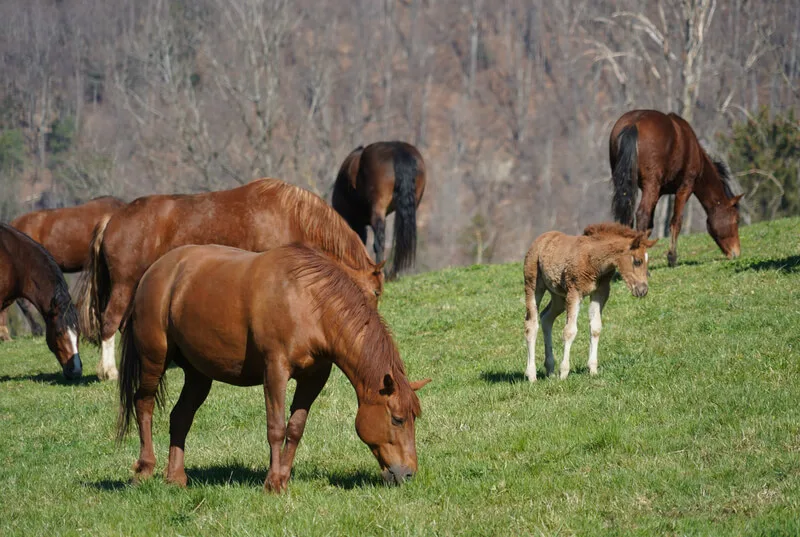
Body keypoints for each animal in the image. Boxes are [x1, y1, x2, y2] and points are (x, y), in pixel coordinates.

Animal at [79, 178, 384, 381]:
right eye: (375, 294)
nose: (365, 334)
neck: (289, 216)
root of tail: (113, 219)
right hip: (125, 284)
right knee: (109, 323)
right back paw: (109, 371)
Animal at [117, 243, 430, 492]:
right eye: (398, 419)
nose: (408, 474)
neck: (308, 302)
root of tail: (155, 271)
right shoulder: (275, 371)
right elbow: (276, 427)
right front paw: (273, 482)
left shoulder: (313, 378)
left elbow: (296, 427)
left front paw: (282, 477)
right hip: (154, 359)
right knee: (143, 405)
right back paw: (144, 469)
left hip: (198, 374)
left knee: (180, 417)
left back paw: (176, 478)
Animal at [523, 223, 657, 382]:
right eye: (637, 261)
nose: (643, 290)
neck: (593, 258)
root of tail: (540, 239)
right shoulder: (574, 292)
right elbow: (569, 331)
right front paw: (564, 373)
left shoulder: (600, 292)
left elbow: (596, 328)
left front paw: (593, 370)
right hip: (533, 284)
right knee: (531, 324)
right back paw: (532, 375)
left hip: (558, 297)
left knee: (546, 318)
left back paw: (550, 369)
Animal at [610, 109, 743, 267]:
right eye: (736, 219)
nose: (736, 253)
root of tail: (633, 124)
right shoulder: (685, 187)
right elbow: (676, 221)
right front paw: (672, 257)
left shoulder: (659, 193)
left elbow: (650, 226)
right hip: (651, 185)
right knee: (642, 215)